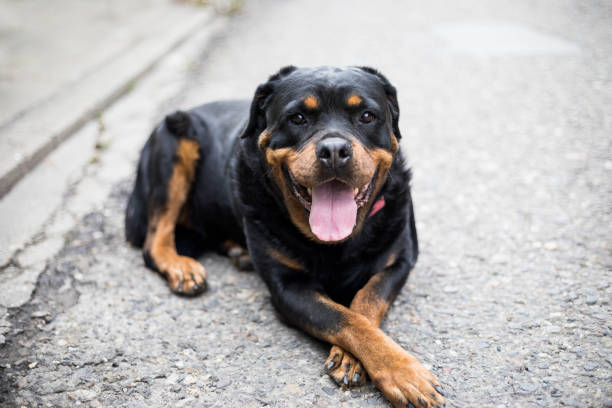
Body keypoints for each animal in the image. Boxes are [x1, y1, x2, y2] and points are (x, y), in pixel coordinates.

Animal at [125, 65, 444, 406]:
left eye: (367, 116)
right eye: (298, 118)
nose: (334, 150)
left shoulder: (398, 263)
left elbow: (366, 302)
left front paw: (363, 360)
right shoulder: (288, 287)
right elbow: (345, 318)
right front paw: (403, 372)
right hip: (174, 139)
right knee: (155, 239)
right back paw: (182, 267)